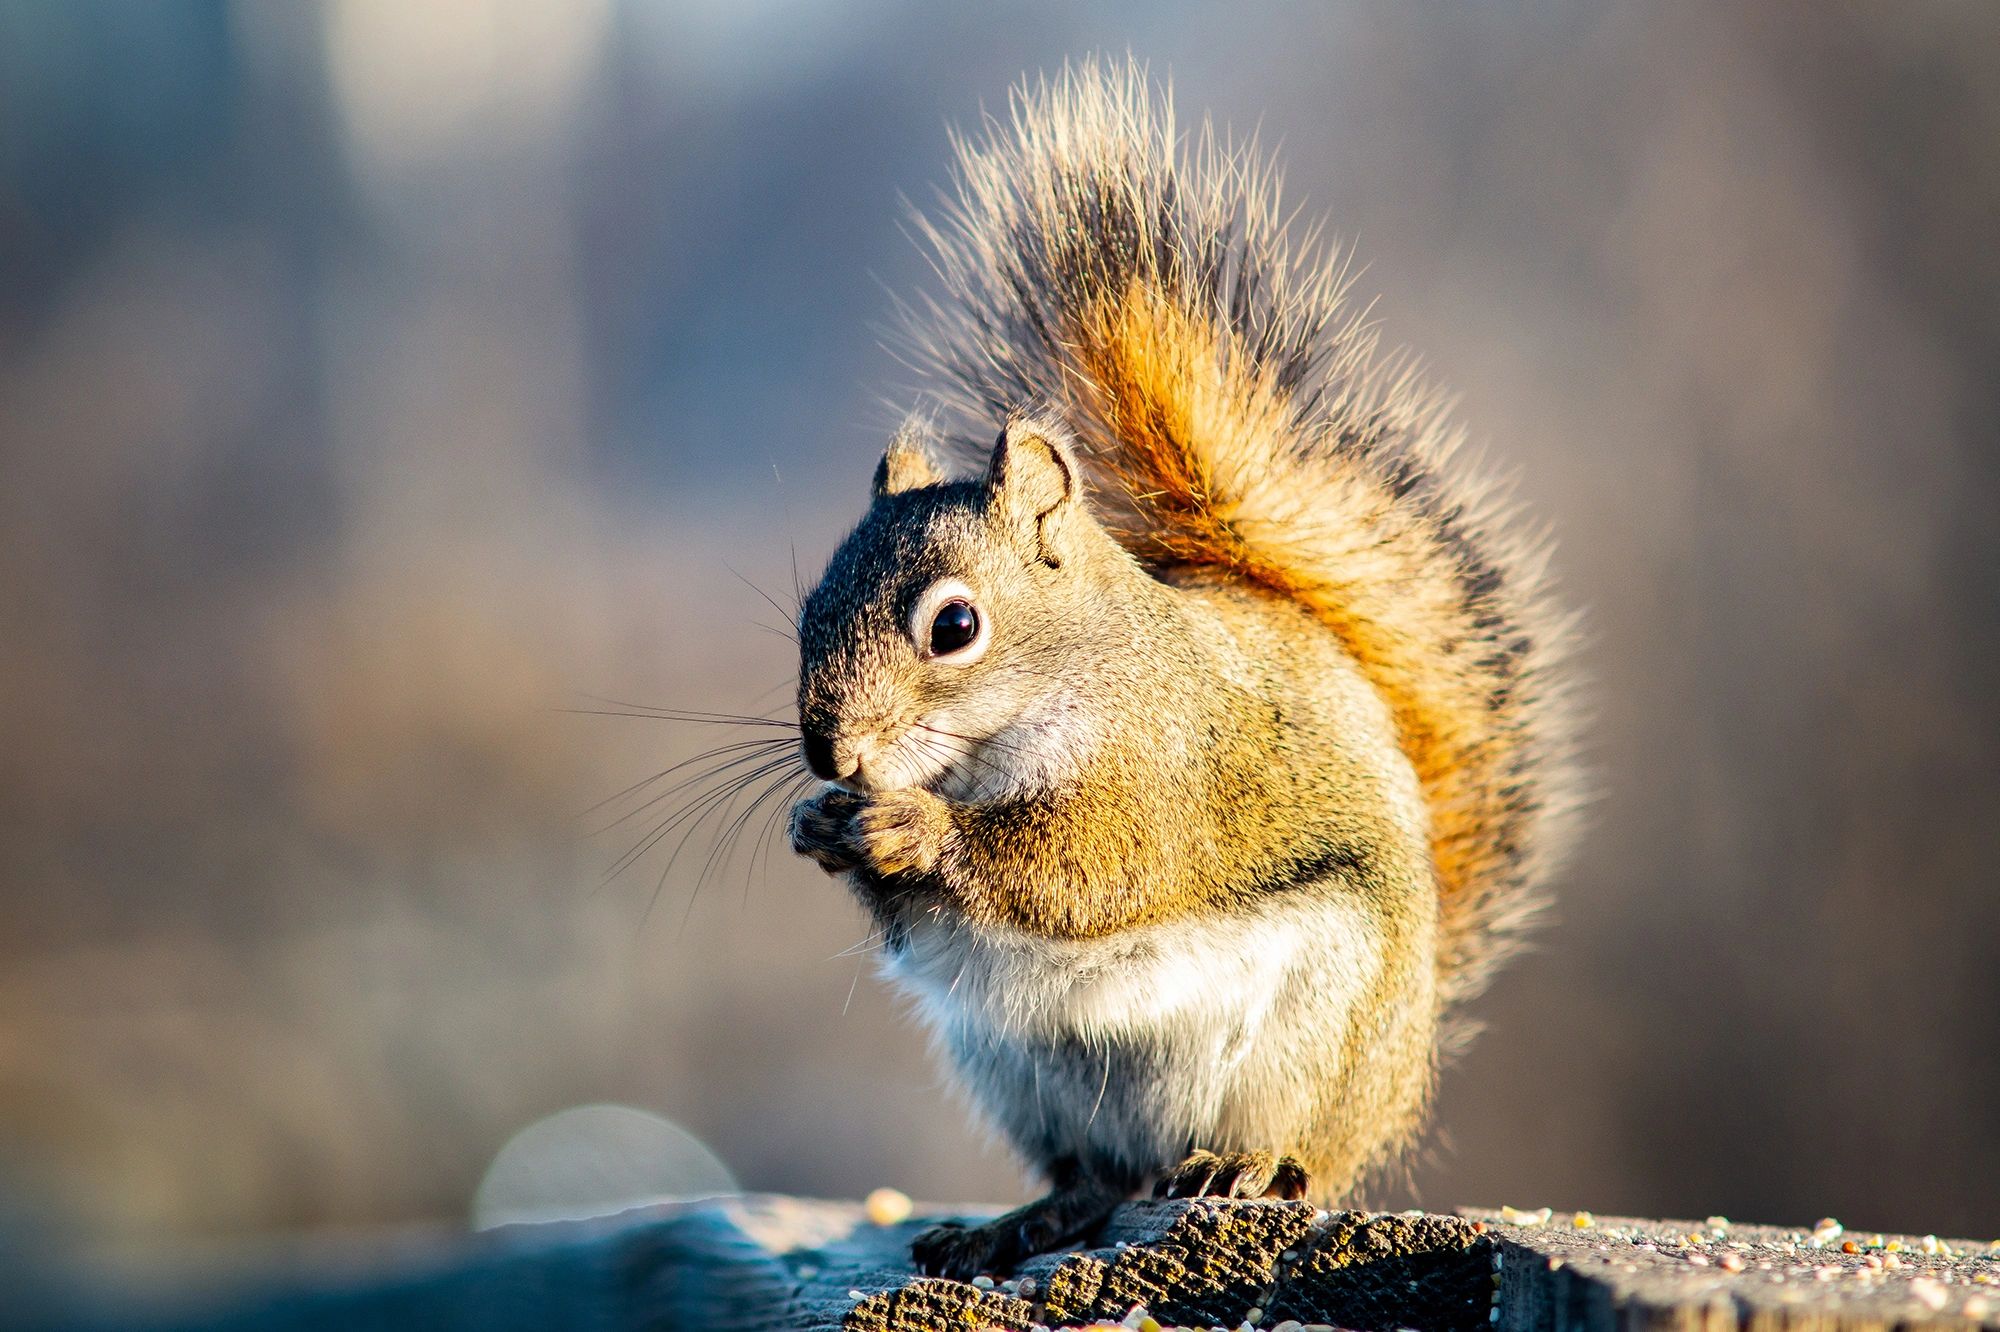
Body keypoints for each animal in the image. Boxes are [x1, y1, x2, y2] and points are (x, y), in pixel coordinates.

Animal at [780, 62, 1576, 1280]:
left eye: (954, 626)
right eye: (808, 612)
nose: (831, 750)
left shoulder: (1170, 764)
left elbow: (1088, 865)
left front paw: (911, 829)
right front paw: (824, 825)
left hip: (1314, 1037)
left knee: (1301, 1155)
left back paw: (1244, 1166)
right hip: (1024, 1073)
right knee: (1096, 1177)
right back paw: (1026, 1218)